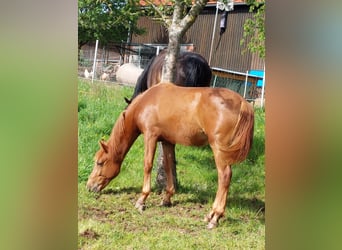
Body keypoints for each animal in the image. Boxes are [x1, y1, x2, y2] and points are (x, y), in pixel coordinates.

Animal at [87, 83, 255, 229]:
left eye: (100, 162)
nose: (89, 186)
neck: (146, 102)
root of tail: (243, 103)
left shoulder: (150, 136)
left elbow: (148, 165)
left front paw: (142, 200)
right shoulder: (167, 141)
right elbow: (168, 166)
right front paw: (167, 198)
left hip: (218, 149)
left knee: (224, 176)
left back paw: (215, 216)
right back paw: (211, 215)